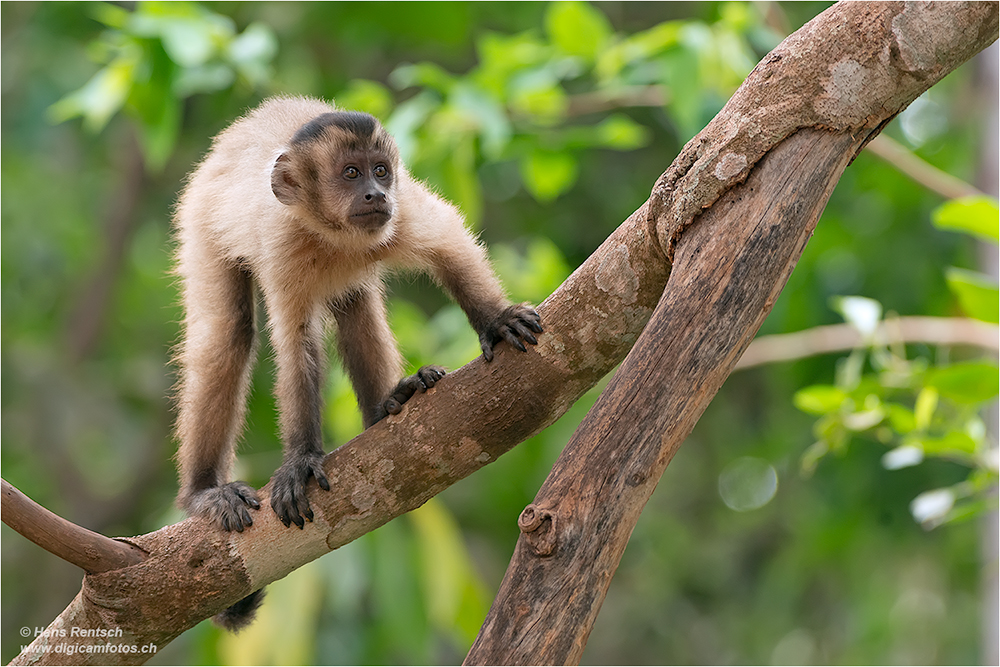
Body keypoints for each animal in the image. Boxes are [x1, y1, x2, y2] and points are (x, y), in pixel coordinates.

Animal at [175, 96, 544, 628]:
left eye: (380, 171)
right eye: (350, 173)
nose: (374, 193)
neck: (334, 233)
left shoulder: (400, 209)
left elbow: (448, 243)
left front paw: (495, 321)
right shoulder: (281, 239)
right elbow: (297, 346)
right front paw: (301, 460)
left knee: (354, 297)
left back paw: (385, 407)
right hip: (199, 218)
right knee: (228, 335)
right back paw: (203, 493)